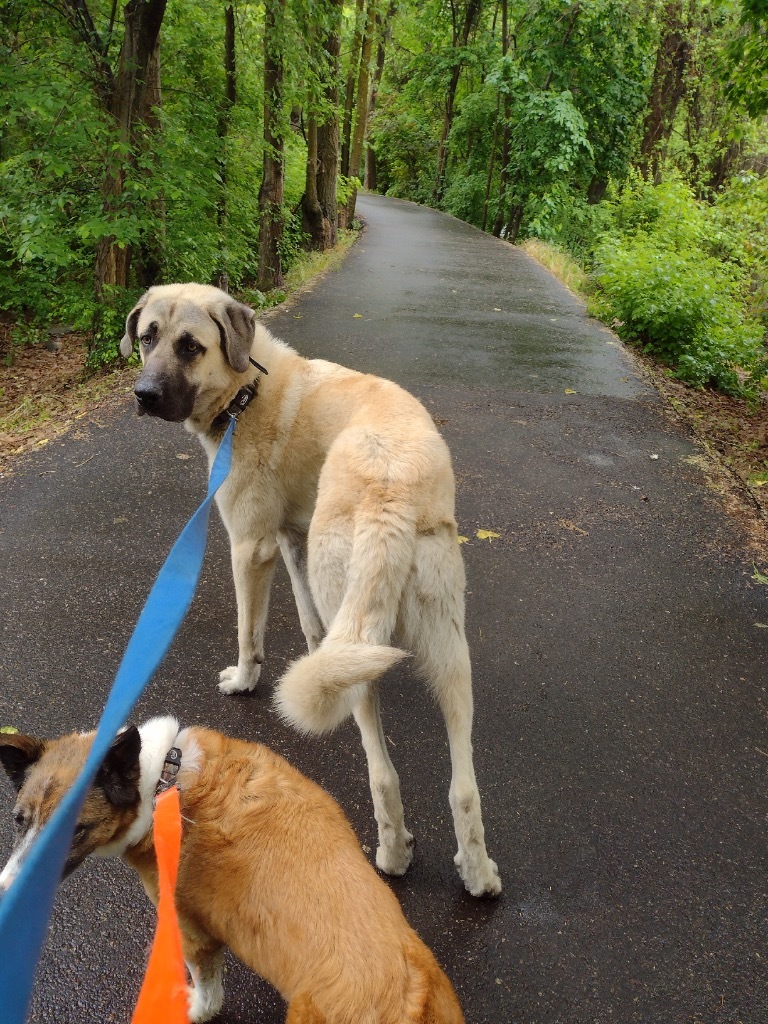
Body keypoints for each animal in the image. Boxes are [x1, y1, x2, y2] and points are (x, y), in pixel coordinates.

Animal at [0, 720, 466, 1024]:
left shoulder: (193, 933)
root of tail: (414, 1001)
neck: (163, 781)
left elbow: (209, 993)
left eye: (74, 830)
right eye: (18, 820)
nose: (7, 893)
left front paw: (193, 1010)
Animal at [117, 284, 501, 901]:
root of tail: (389, 485)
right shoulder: (293, 543)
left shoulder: (251, 547)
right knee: (463, 785)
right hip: (448, 651)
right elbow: (309, 619)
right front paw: (312, 647)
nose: (144, 395)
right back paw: (478, 873)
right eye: (148, 337)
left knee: (382, 772)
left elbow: (249, 630)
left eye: (190, 346)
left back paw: (393, 855)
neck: (249, 391)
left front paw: (244, 681)